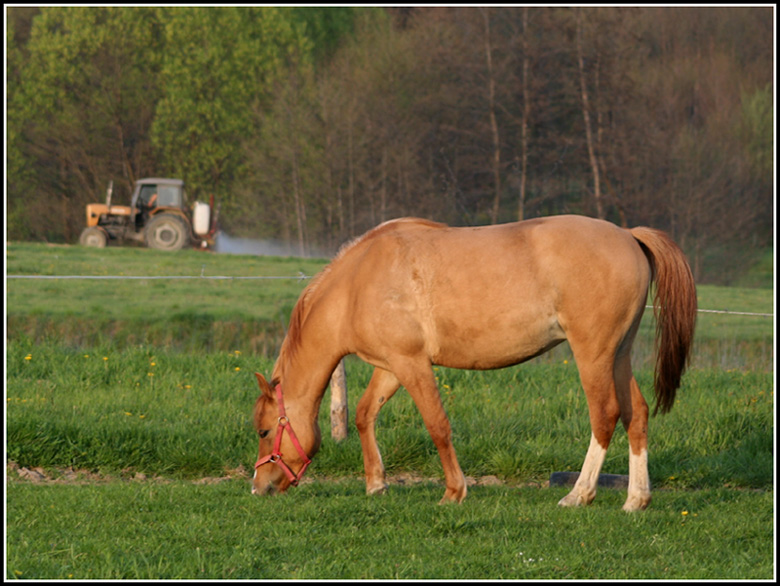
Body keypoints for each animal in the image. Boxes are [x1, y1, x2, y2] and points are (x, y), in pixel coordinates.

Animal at [253, 213, 696, 506]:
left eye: (263, 431)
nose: (259, 486)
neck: (358, 284)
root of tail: (628, 235)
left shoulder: (413, 365)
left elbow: (438, 425)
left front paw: (454, 491)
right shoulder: (392, 366)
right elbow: (364, 415)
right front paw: (376, 484)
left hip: (593, 354)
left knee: (604, 416)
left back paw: (579, 494)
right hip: (618, 355)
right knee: (636, 414)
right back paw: (636, 500)